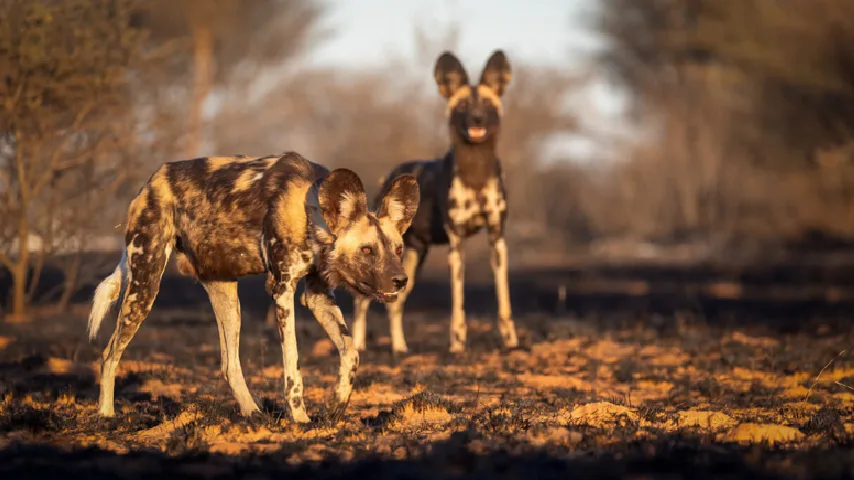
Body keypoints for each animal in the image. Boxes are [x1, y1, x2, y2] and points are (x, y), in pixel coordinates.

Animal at [87, 152, 422, 422]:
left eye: (398, 249)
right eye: (367, 250)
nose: (400, 280)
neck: (311, 212)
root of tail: (151, 182)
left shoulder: (317, 294)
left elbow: (351, 352)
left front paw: (337, 406)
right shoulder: (282, 290)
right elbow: (293, 367)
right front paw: (301, 420)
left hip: (225, 296)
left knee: (229, 364)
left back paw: (253, 414)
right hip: (145, 284)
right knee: (108, 354)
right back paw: (106, 416)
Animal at [352, 49, 520, 356]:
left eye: (486, 104)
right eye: (463, 105)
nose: (477, 119)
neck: (476, 174)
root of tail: (390, 176)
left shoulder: (497, 239)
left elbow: (504, 300)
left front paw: (511, 343)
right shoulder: (457, 243)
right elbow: (458, 305)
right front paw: (457, 345)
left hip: (411, 259)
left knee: (396, 304)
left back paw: (400, 349)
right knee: (362, 301)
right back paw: (359, 347)